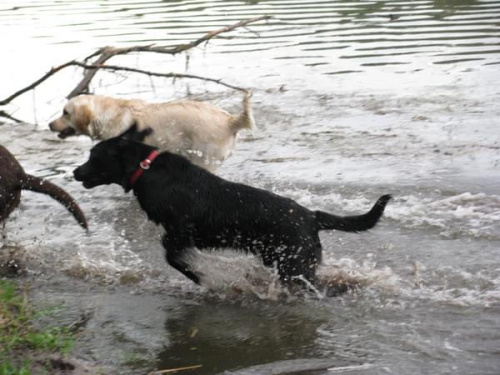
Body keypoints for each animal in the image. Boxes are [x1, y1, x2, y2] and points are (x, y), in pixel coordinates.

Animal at [73, 125, 390, 286]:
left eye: (93, 156)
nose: (75, 171)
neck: (146, 169)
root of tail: (312, 216)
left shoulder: (179, 232)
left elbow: (173, 258)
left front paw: (200, 276)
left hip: (294, 266)